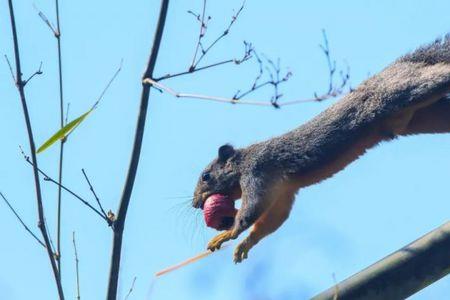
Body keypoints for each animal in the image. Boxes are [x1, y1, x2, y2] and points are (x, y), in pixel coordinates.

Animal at [192, 36, 450, 264]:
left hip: (403, 91)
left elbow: (252, 208)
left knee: (436, 75)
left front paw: (228, 234)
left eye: (206, 176)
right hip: (425, 116)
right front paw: (245, 244)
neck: (243, 162)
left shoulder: (258, 173)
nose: (195, 203)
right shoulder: (284, 192)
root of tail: (399, 66)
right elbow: (273, 220)